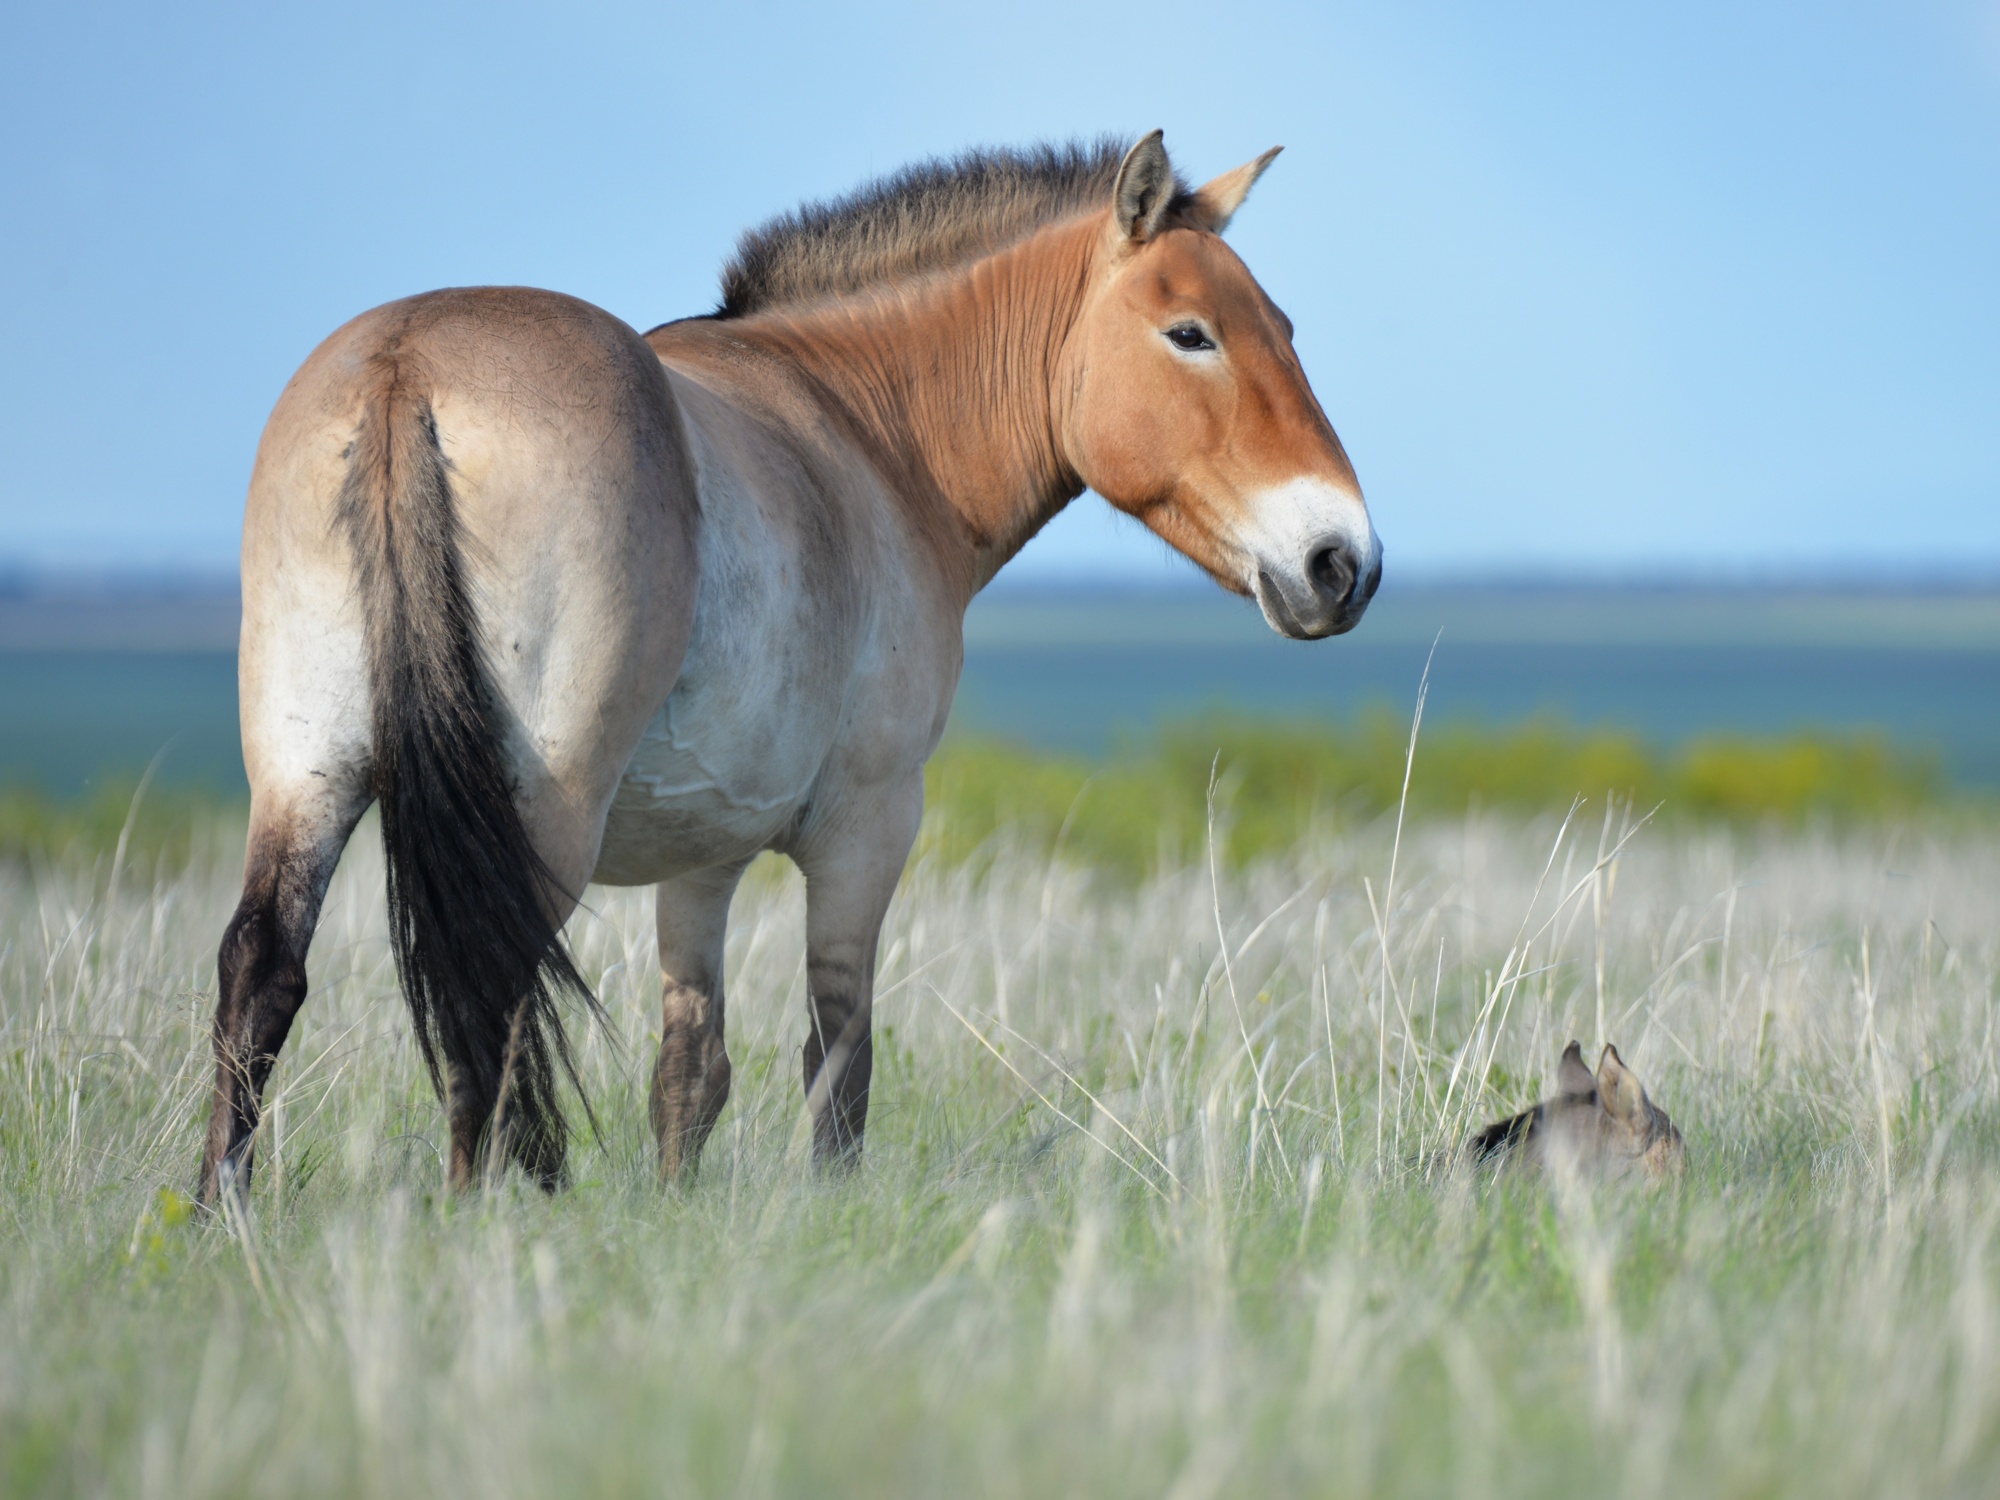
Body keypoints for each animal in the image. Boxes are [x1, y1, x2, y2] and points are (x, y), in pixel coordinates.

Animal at [196, 131, 1381, 1203]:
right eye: (1190, 334)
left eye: (1277, 328)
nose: (1344, 563)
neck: (871, 436)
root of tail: (408, 366)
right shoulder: (867, 828)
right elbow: (836, 1056)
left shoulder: (703, 855)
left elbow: (689, 1072)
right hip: (544, 808)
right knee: (483, 988)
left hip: (307, 779)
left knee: (264, 974)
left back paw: (224, 1212)